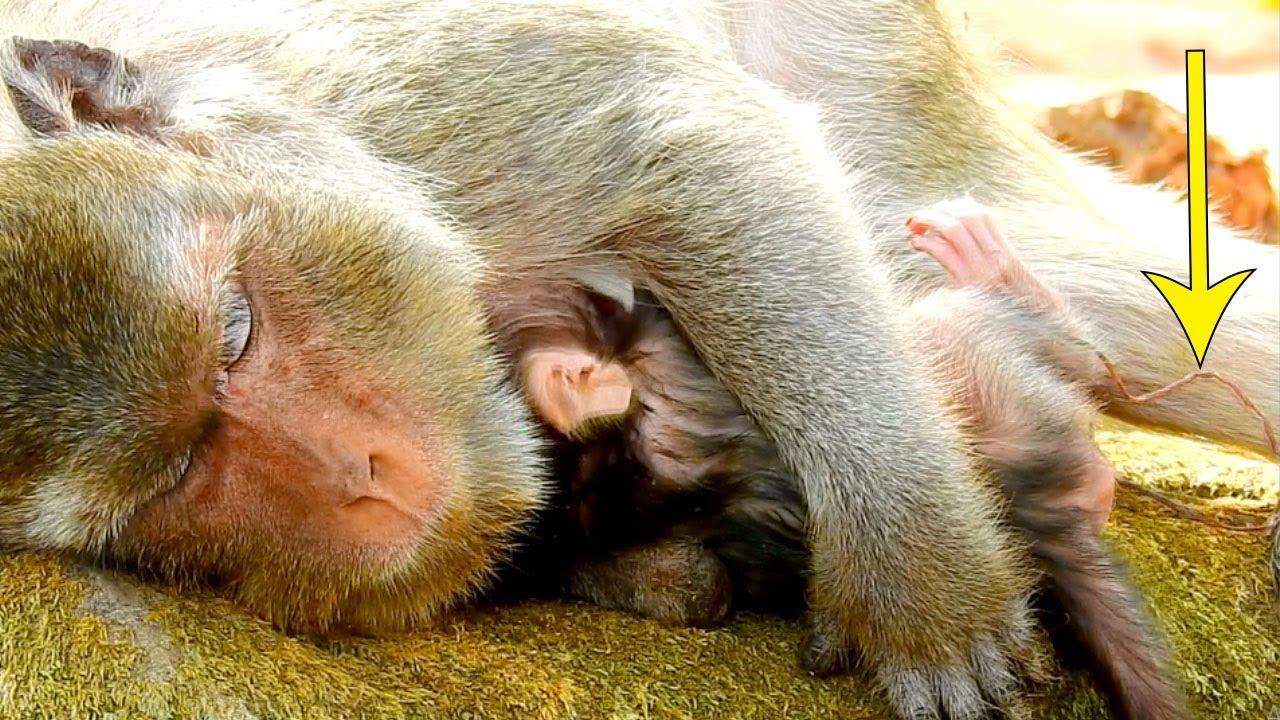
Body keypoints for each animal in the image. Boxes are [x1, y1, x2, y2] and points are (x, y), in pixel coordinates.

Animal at [0, 1, 1275, 719]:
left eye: (236, 331)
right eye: (170, 487)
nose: (357, 478)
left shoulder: (392, 97)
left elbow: (692, 135)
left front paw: (922, 582)